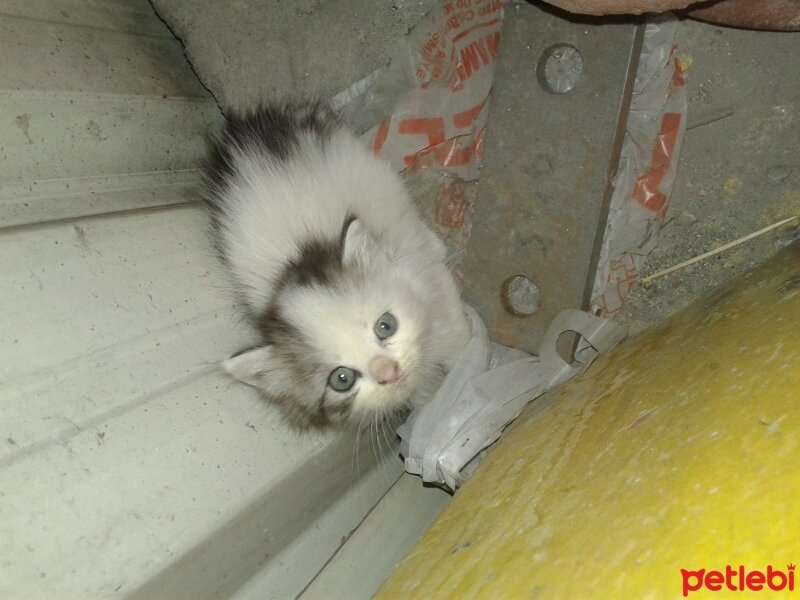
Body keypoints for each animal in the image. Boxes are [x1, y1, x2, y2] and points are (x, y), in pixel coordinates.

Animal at [203, 102, 472, 432]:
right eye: (341, 379)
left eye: (385, 326)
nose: (388, 372)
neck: (301, 260)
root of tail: (244, 130)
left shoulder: (423, 273)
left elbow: (452, 327)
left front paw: (468, 367)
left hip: (376, 178)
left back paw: (436, 243)